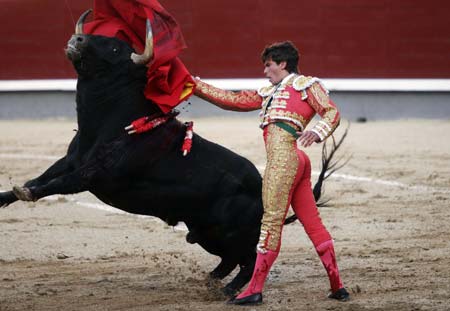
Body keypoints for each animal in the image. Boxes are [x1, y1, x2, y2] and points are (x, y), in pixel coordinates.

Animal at [0, 32, 342, 298]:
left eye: (115, 49)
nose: (78, 39)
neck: (108, 123)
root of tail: (262, 191)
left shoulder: (94, 175)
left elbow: (55, 184)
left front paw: (26, 194)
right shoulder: (70, 160)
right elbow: (41, 177)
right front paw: (7, 195)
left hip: (230, 231)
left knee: (249, 259)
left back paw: (231, 291)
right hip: (205, 232)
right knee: (231, 260)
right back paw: (210, 280)